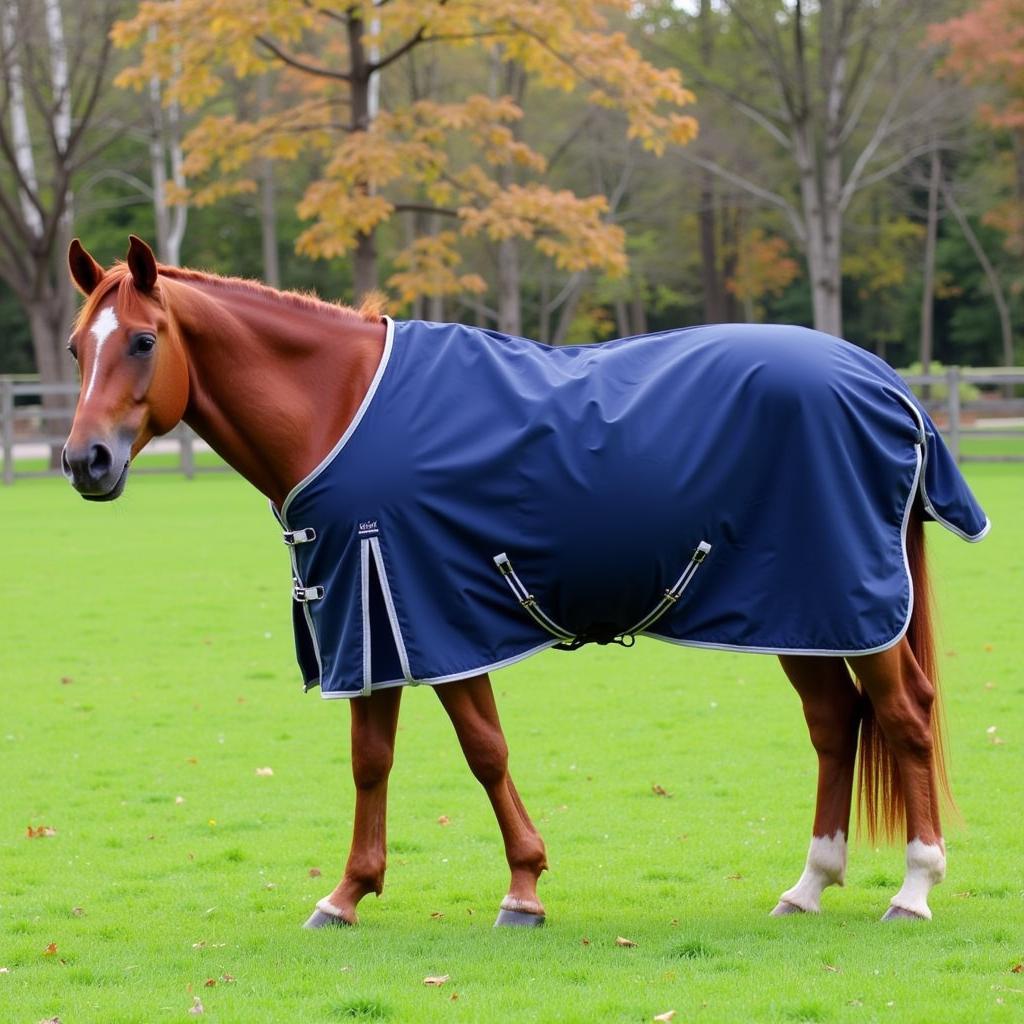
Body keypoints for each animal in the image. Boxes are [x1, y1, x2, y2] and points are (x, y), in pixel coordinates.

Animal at [61, 237, 983, 929]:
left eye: (142, 340)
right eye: (76, 347)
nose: (84, 461)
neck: (338, 405)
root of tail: (890, 387)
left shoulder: (422, 610)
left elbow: (481, 749)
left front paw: (522, 889)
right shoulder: (377, 619)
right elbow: (374, 759)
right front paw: (351, 892)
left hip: (854, 607)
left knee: (904, 717)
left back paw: (914, 886)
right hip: (803, 613)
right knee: (835, 725)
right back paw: (810, 884)